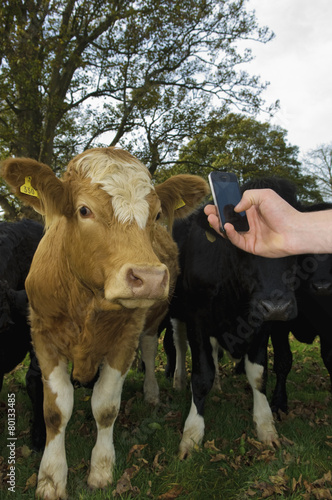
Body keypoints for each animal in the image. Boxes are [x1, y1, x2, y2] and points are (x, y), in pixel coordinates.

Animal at [0, 146, 208, 498]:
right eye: (84, 210)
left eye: (156, 215)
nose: (149, 277)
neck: (86, 300)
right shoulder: (43, 338)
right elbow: (55, 411)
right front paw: (50, 478)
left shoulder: (124, 339)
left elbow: (106, 406)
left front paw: (100, 470)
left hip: (152, 322)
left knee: (150, 350)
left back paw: (152, 393)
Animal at [170, 178, 300, 458]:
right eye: (239, 246)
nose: (278, 305)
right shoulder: (197, 318)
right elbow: (202, 375)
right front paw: (192, 433)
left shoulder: (262, 322)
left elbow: (258, 374)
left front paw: (266, 426)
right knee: (179, 344)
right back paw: (178, 379)